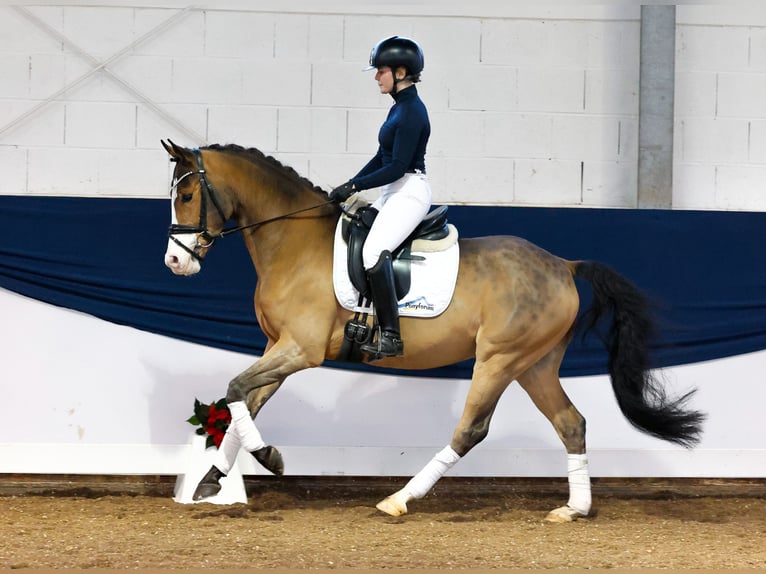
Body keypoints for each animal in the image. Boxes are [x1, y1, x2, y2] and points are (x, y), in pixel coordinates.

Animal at [162, 142, 708, 524]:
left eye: (187, 195)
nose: (174, 263)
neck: (292, 241)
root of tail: (563, 265)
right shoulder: (278, 347)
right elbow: (243, 404)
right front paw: (211, 480)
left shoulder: (302, 350)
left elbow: (235, 390)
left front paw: (269, 458)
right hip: (535, 365)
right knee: (571, 423)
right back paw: (573, 509)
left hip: (498, 360)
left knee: (471, 430)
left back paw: (400, 499)